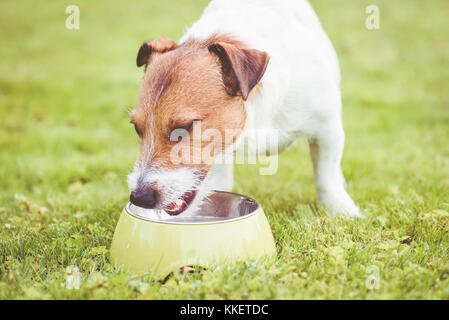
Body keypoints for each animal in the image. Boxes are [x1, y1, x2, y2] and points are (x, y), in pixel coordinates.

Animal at [127, 0, 360, 218]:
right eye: (137, 128)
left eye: (184, 127)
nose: (139, 197)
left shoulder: (327, 126)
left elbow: (326, 172)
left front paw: (340, 209)